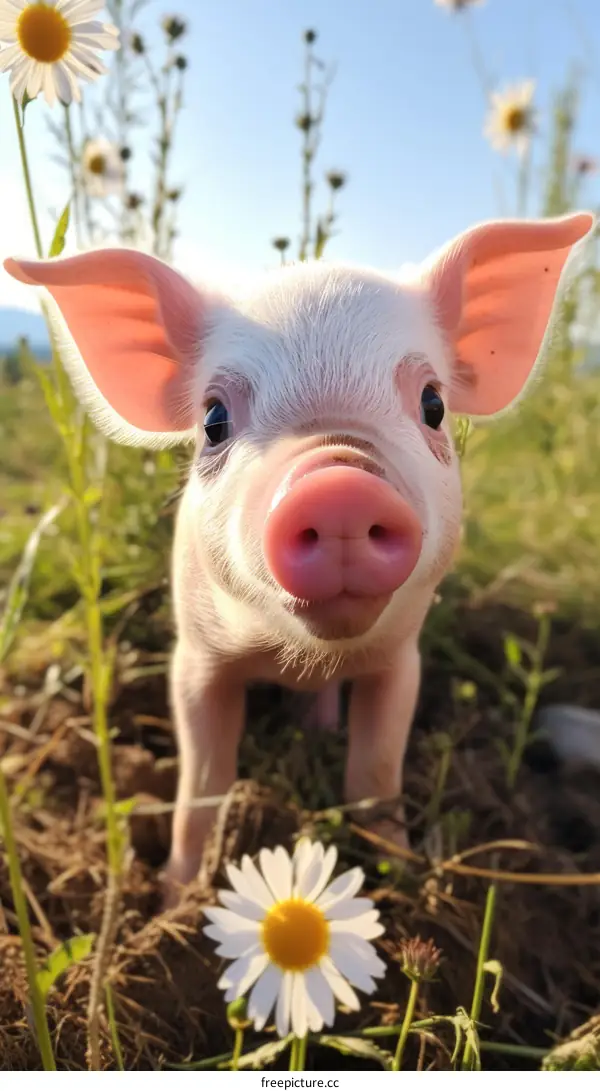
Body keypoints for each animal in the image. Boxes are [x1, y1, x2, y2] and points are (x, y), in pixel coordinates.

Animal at [4, 211, 594, 904]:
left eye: (433, 405)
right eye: (213, 419)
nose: (338, 482)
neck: (297, 653)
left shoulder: (401, 657)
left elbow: (376, 769)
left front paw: (398, 871)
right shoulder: (195, 658)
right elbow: (202, 781)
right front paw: (177, 898)